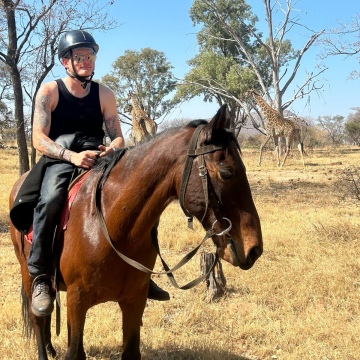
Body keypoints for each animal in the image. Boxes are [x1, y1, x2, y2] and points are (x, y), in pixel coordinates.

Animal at [8, 105, 262, 360]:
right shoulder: (76, 301)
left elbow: (130, 350)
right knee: (39, 317)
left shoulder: (134, 300)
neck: (112, 229)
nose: (254, 249)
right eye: (227, 173)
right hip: (28, 275)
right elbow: (74, 350)